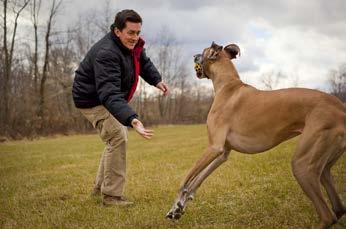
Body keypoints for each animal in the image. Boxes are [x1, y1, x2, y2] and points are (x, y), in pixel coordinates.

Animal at [166, 42, 344, 228]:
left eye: (202, 52)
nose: (193, 56)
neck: (228, 85)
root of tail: (341, 109)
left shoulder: (214, 148)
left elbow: (185, 179)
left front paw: (177, 203)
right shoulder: (222, 153)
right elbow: (196, 181)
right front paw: (177, 207)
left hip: (302, 165)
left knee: (327, 215)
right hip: (322, 167)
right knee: (338, 207)